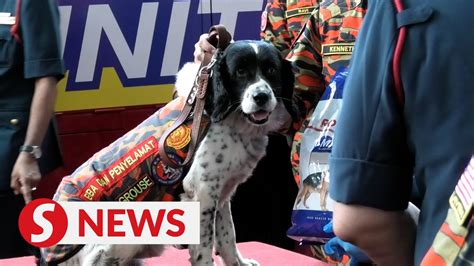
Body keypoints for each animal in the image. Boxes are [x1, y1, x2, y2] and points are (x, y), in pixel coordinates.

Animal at [60, 40, 294, 266]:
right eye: (240, 71)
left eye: (271, 69)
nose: (261, 97)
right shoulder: (201, 193)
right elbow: (204, 248)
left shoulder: (221, 193)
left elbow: (228, 236)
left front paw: (239, 263)